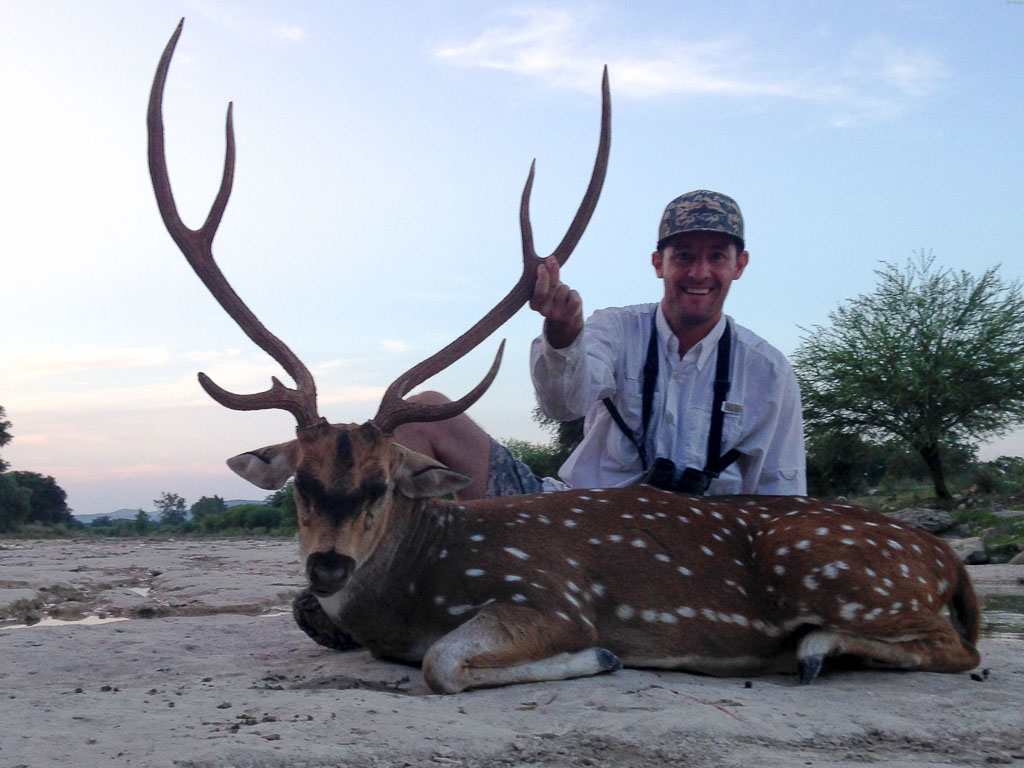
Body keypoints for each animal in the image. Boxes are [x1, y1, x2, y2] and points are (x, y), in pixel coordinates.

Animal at [148, 20, 978, 696]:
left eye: (381, 485)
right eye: (301, 480)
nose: (327, 566)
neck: (420, 586)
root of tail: (951, 561)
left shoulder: (552, 594)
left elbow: (443, 662)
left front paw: (603, 655)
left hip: (837, 568)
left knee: (957, 648)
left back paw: (814, 648)